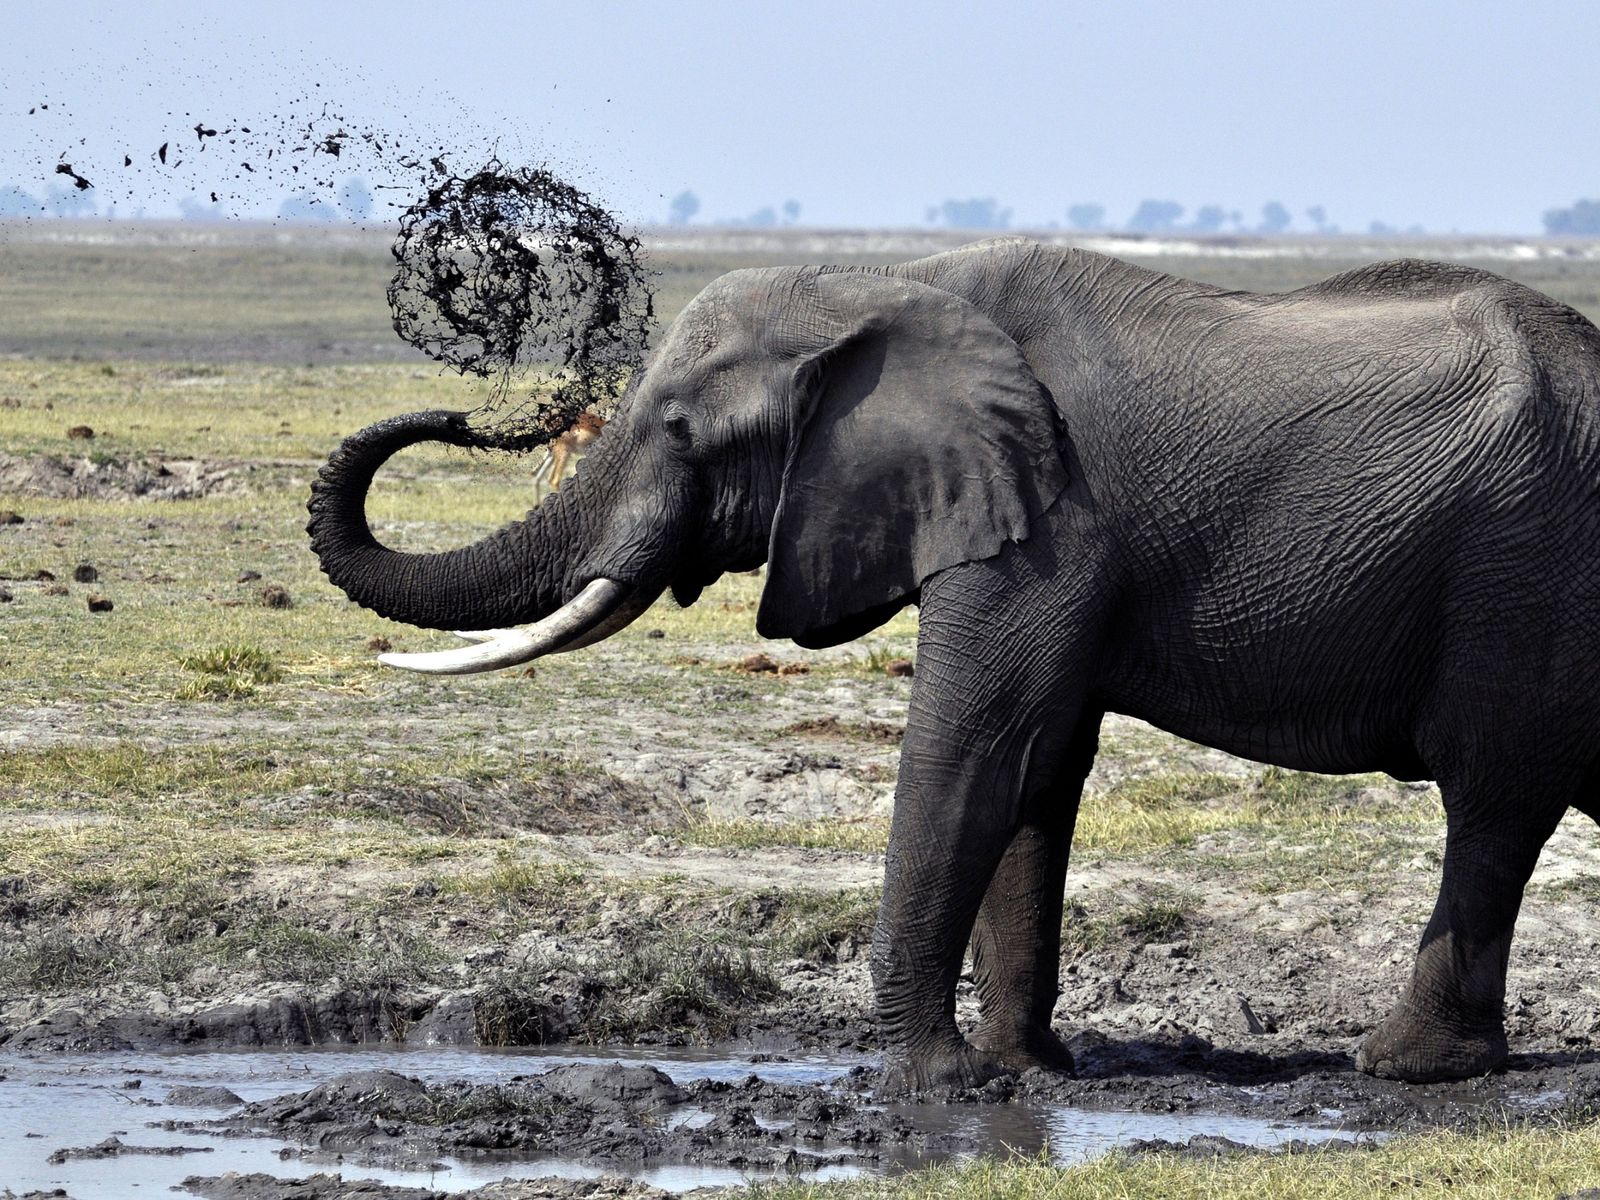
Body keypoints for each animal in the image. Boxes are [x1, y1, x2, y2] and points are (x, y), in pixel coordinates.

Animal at [308, 240, 1600, 1094]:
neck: (880, 280)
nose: (465, 416)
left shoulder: (1044, 518)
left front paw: (934, 1087)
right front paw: (1021, 1071)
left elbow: (979, 740)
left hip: (1525, 574)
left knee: (1492, 799)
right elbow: (1037, 769)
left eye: (678, 430)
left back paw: (1407, 1069)